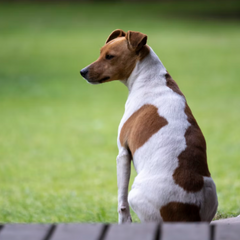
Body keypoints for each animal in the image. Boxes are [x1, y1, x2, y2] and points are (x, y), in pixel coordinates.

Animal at [80, 30, 218, 223]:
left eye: (110, 56)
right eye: (100, 52)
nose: (82, 72)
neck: (150, 80)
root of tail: (188, 213)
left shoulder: (123, 153)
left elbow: (121, 204)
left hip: (135, 195)